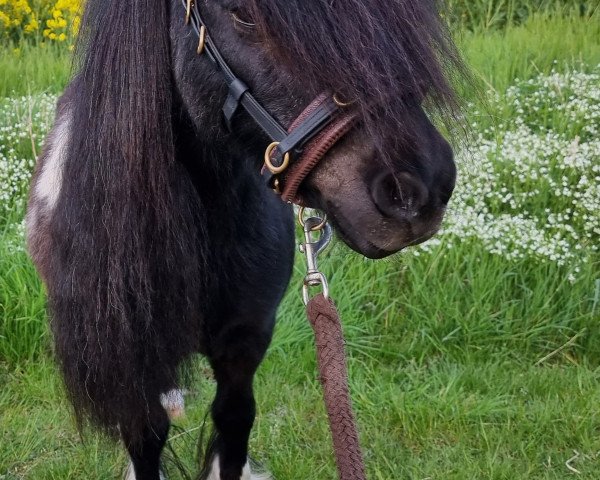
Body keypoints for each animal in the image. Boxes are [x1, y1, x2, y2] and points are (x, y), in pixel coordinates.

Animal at [25, 0, 462, 480]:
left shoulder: (245, 344)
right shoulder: (134, 359)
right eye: (243, 16)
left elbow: (233, 425)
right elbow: (146, 435)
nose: (419, 189)